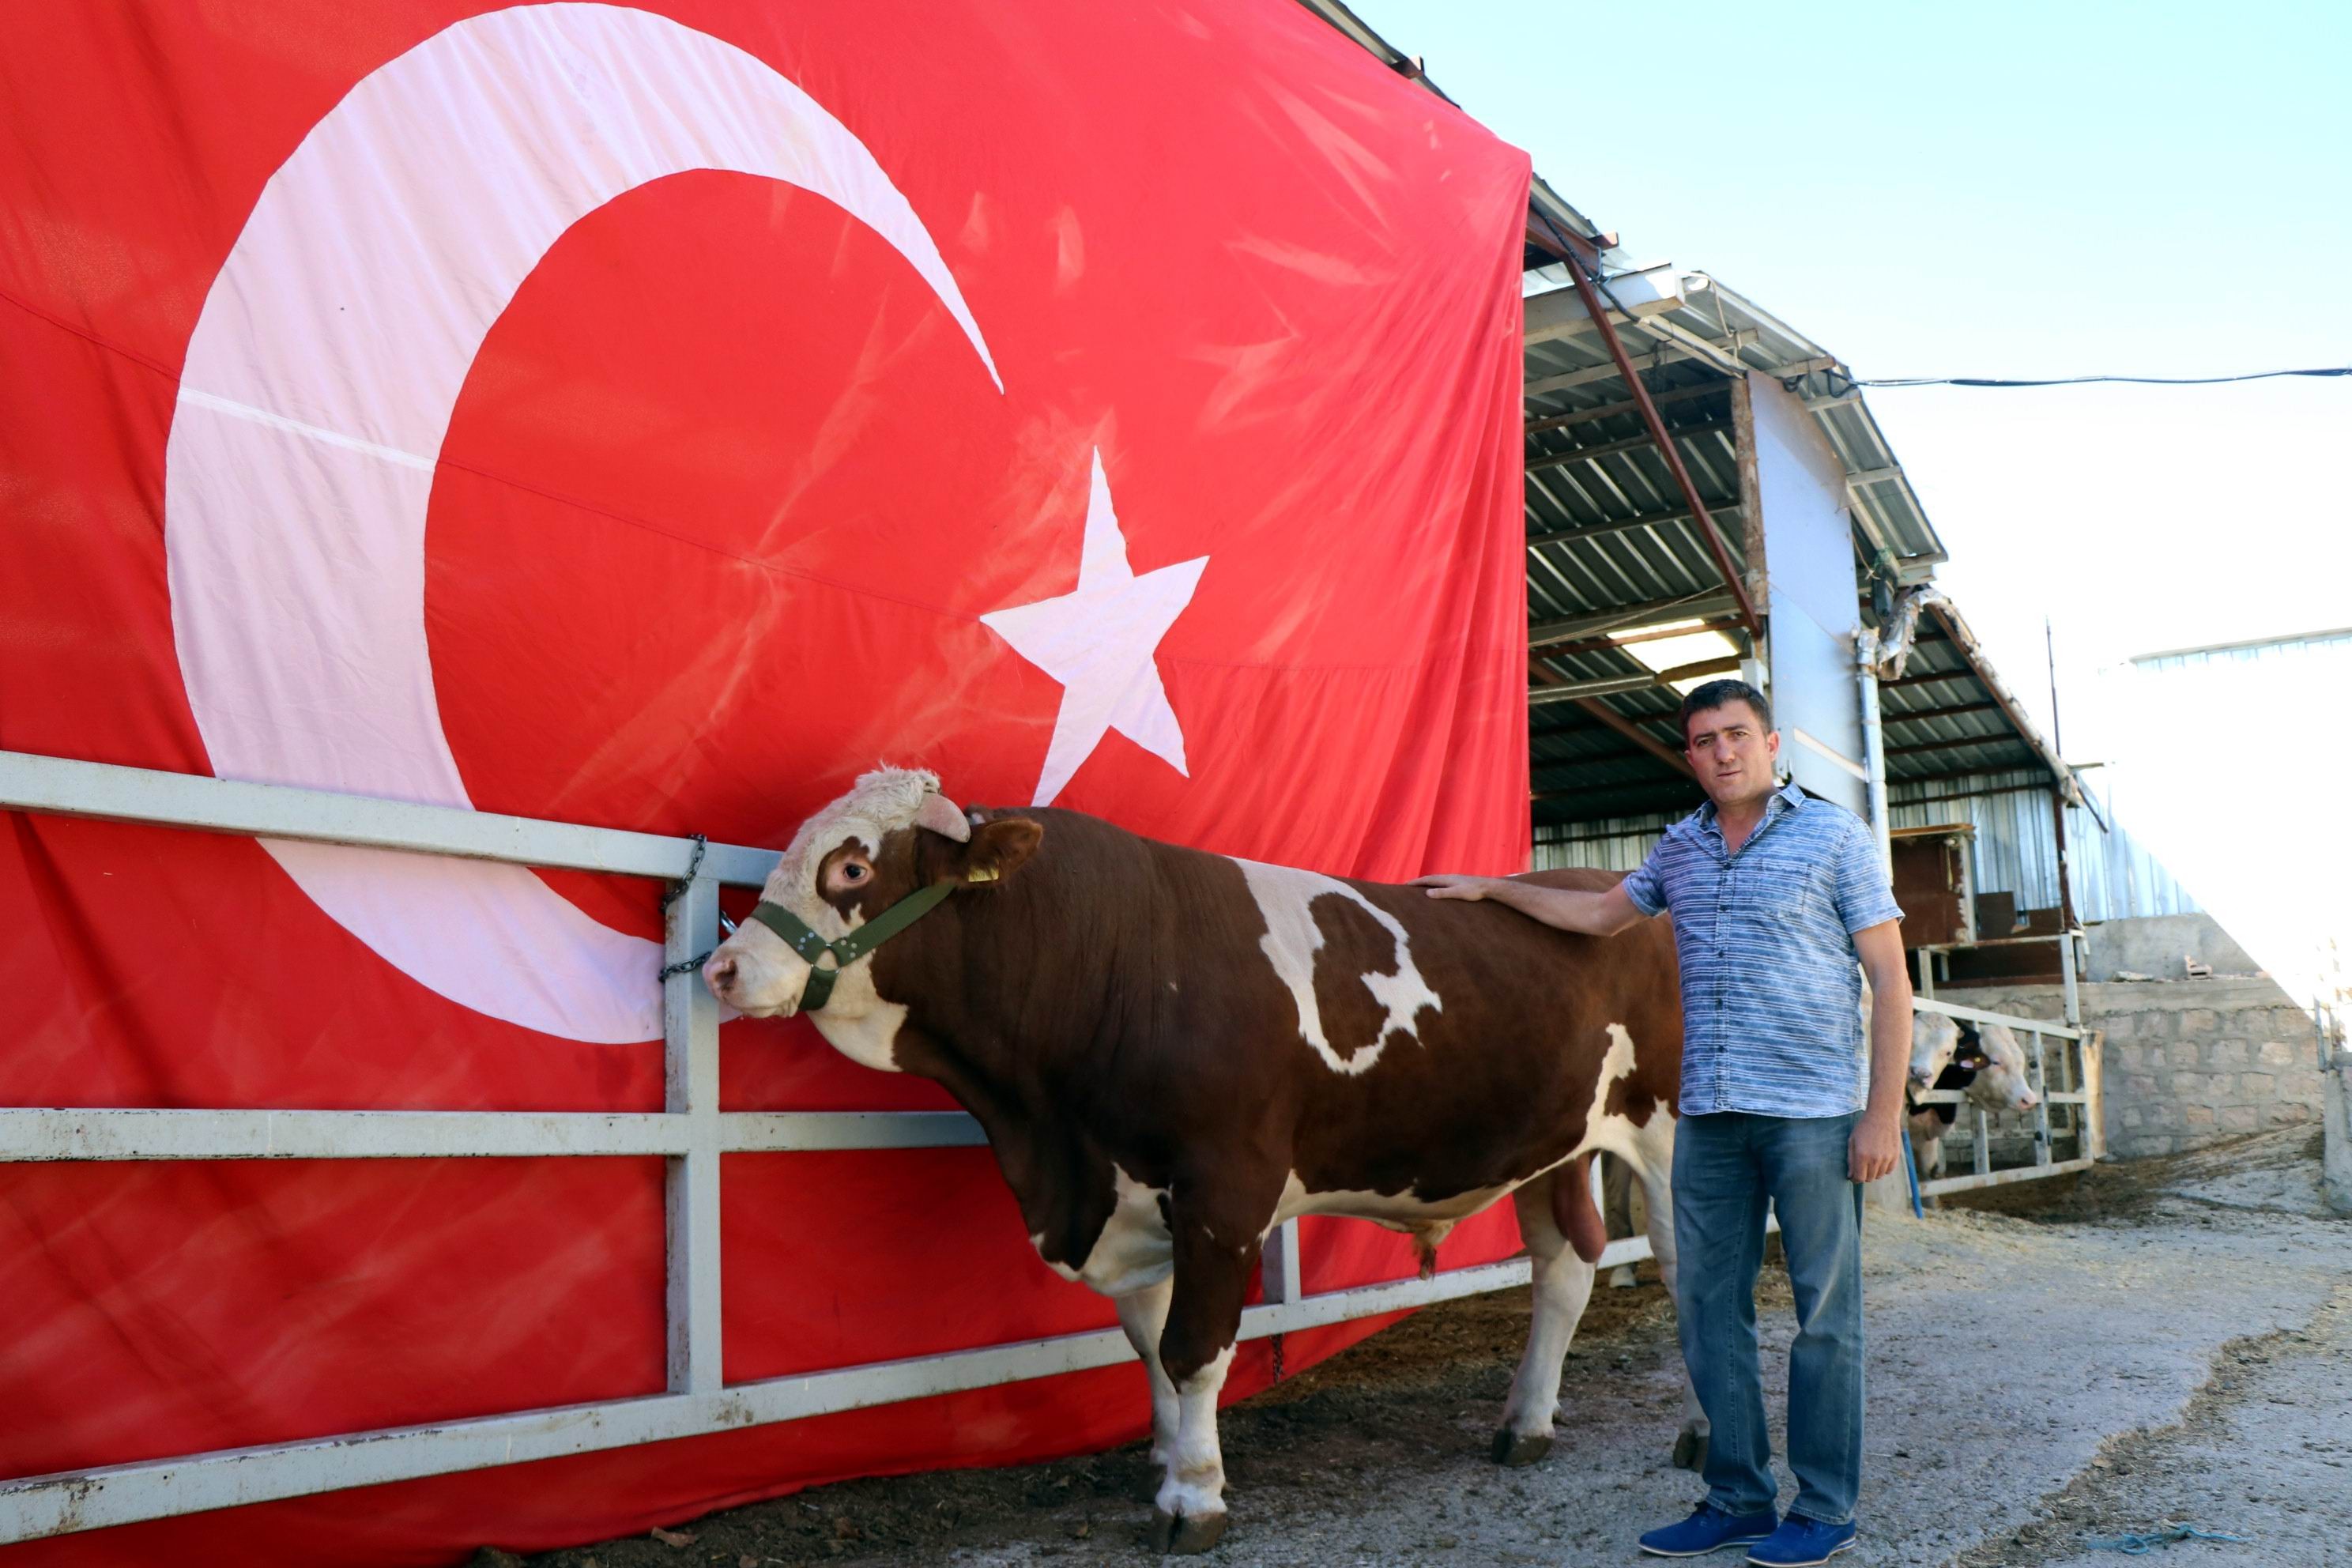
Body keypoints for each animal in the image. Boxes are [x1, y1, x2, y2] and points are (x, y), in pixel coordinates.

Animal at [705, 766, 1702, 1551]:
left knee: (1686, 1263)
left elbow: (1194, 1344)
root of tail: (1608, 884)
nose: (721, 968)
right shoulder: (1126, 1187)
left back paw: (1698, 1432)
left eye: (851, 866)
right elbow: (1148, 1338)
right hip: (1554, 1145)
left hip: (1668, 1128)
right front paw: (1169, 1454)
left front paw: (1193, 1496)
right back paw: (1525, 1423)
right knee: (1566, 1263)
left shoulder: (1224, 1187)